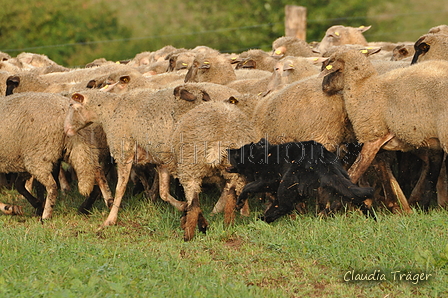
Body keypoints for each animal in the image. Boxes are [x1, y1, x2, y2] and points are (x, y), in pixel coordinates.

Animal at [226, 139, 376, 222]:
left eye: (238, 152)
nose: (227, 149)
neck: (262, 156)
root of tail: (320, 157)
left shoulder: (269, 180)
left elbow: (248, 187)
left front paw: (239, 204)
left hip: (287, 182)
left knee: (285, 206)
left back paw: (263, 219)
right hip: (342, 180)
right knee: (355, 197)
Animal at [320, 49, 448, 211]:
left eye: (331, 67)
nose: (323, 86)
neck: (363, 88)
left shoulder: (373, 136)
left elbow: (354, 172)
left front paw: (336, 207)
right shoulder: (395, 144)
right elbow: (388, 176)